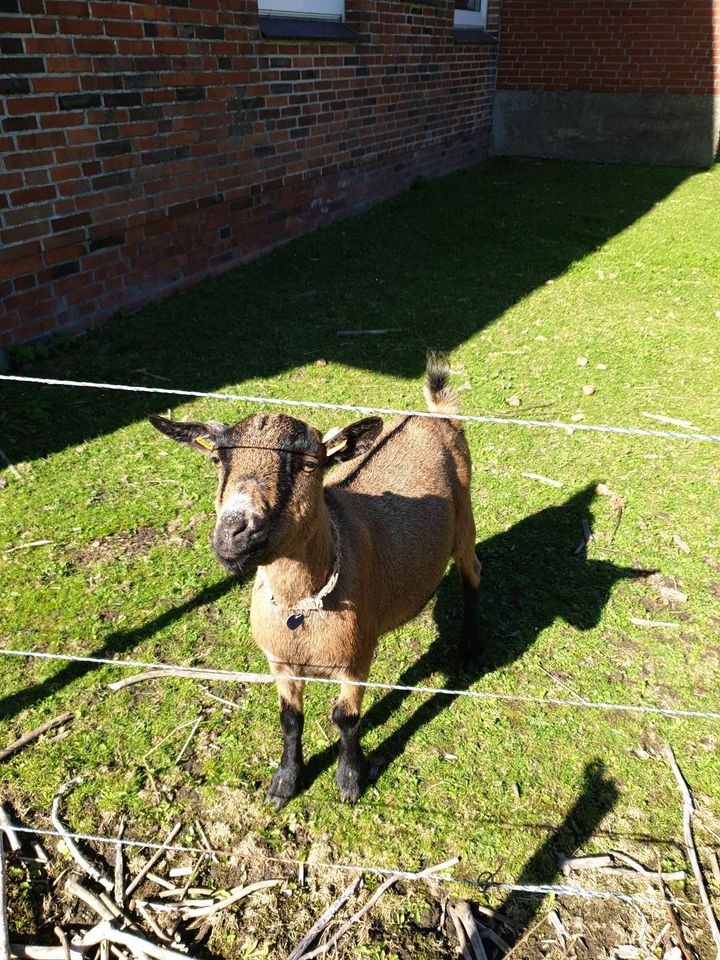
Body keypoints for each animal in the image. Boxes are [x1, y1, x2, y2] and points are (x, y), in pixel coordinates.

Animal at [149, 356, 480, 808]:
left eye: (309, 465)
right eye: (218, 460)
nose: (233, 532)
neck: (300, 610)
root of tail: (435, 414)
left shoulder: (356, 658)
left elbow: (346, 718)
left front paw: (349, 779)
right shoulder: (280, 661)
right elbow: (290, 718)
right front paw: (284, 782)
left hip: (465, 520)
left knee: (472, 574)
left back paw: (467, 650)